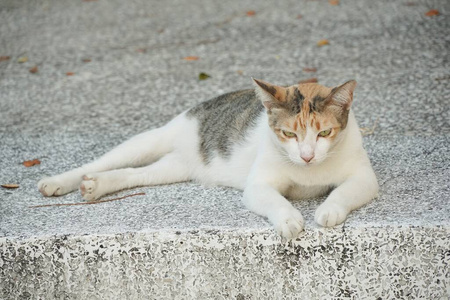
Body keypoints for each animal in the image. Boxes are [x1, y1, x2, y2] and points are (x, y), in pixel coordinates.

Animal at [37, 78, 380, 238]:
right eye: (288, 134)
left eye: (324, 133)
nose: (307, 156)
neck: (309, 173)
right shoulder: (258, 185)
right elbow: (274, 200)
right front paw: (288, 219)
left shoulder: (365, 178)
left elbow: (344, 191)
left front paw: (329, 210)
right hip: (151, 139)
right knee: (103, 162)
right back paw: (60, 182)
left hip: (173, 168)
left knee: (135, 174)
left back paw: (96, 186)